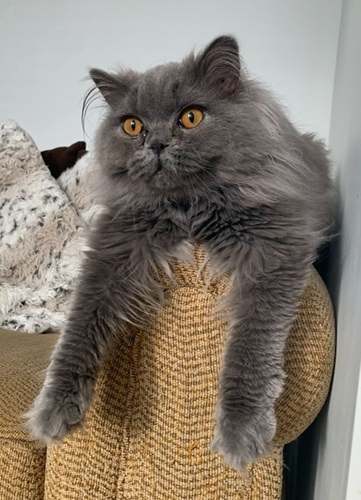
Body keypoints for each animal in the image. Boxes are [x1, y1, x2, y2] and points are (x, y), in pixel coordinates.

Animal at [26, 37, 334, 470]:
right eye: (133, 125)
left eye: (190, 117)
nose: (156, 144)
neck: (187, 209)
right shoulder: (112, 248)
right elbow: (78, 328)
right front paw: (53, 411)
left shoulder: (273, 248)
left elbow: (252, 344)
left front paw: (240, 433)